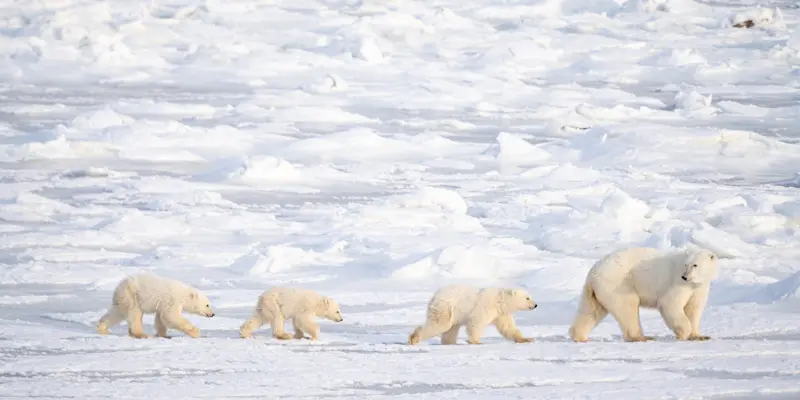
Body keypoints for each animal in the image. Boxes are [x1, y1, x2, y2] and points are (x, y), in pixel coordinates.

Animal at [408, 285, 538, 345]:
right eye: (527, 298)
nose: (536, 305)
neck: (499, 301)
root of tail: (434, 296)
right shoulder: (485, 307)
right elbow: (476, 322)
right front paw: (476, 341)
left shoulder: (500, 313)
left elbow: (508, 328)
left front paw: (527, 339)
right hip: (446, 308)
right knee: (440, 325)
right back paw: (414, 338)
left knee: (450, 329)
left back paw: (450, 342)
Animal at [568, 246, 719, 343]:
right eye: (686, 265)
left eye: (695, 265)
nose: (685, 277)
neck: (694, 283)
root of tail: (594, 272)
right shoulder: (677, 283)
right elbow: (670, 303)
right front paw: (684, 333)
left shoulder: (698, 288)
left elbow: (693, 309)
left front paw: (699, 336)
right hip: (619, 283)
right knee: (628, 306)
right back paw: (642, 338)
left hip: (596, 290)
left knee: (591, 311)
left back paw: (579, 337)